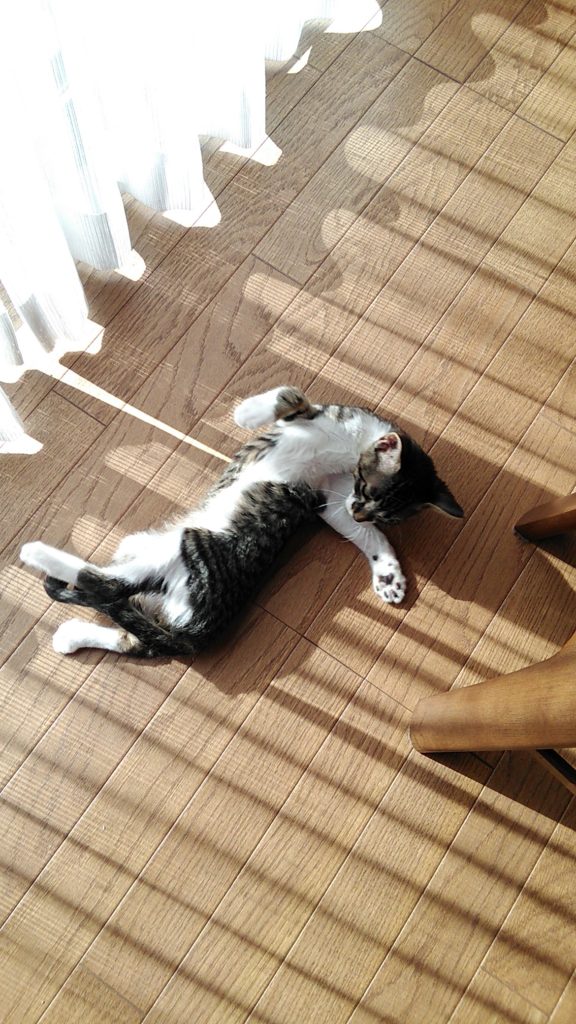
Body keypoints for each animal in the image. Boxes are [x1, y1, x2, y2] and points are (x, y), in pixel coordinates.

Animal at [20, 385, 463, 658]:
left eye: (379, 508)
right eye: (365, 491)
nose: (359, 510)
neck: (349, 447)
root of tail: (194, 631)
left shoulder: (329, 487)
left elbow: (291, 393)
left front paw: (389, 573)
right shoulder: (331, 495)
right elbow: (289, 395)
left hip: (185, 551)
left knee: (105, 584)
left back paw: (37, 555)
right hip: (157, 591)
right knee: (133, 634)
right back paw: (71, 635)